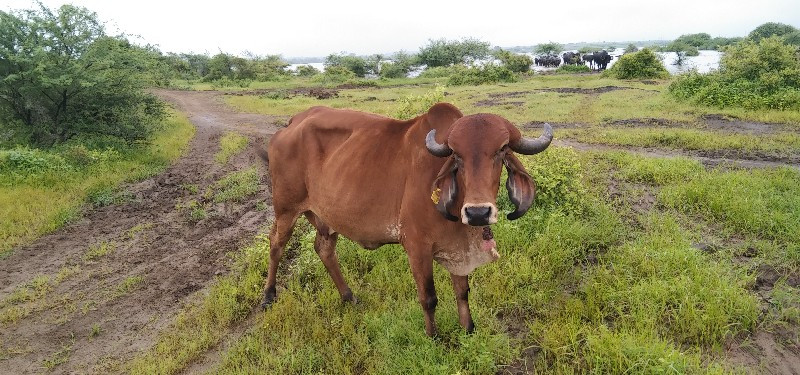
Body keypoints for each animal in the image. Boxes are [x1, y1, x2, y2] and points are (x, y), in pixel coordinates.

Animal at [262, 101, 552, 336]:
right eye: (456, 155)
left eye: (502, 150)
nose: (478, 212)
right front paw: (433, 337)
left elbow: (462, 291)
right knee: (276, 244)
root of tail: (294, 121)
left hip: (326, 216)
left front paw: (468, 329)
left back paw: (349, 296)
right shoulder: (416, 247)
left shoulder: (457, 248)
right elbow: (429, 298)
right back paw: (268, 295)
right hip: (285, 208)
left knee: (323, 249)